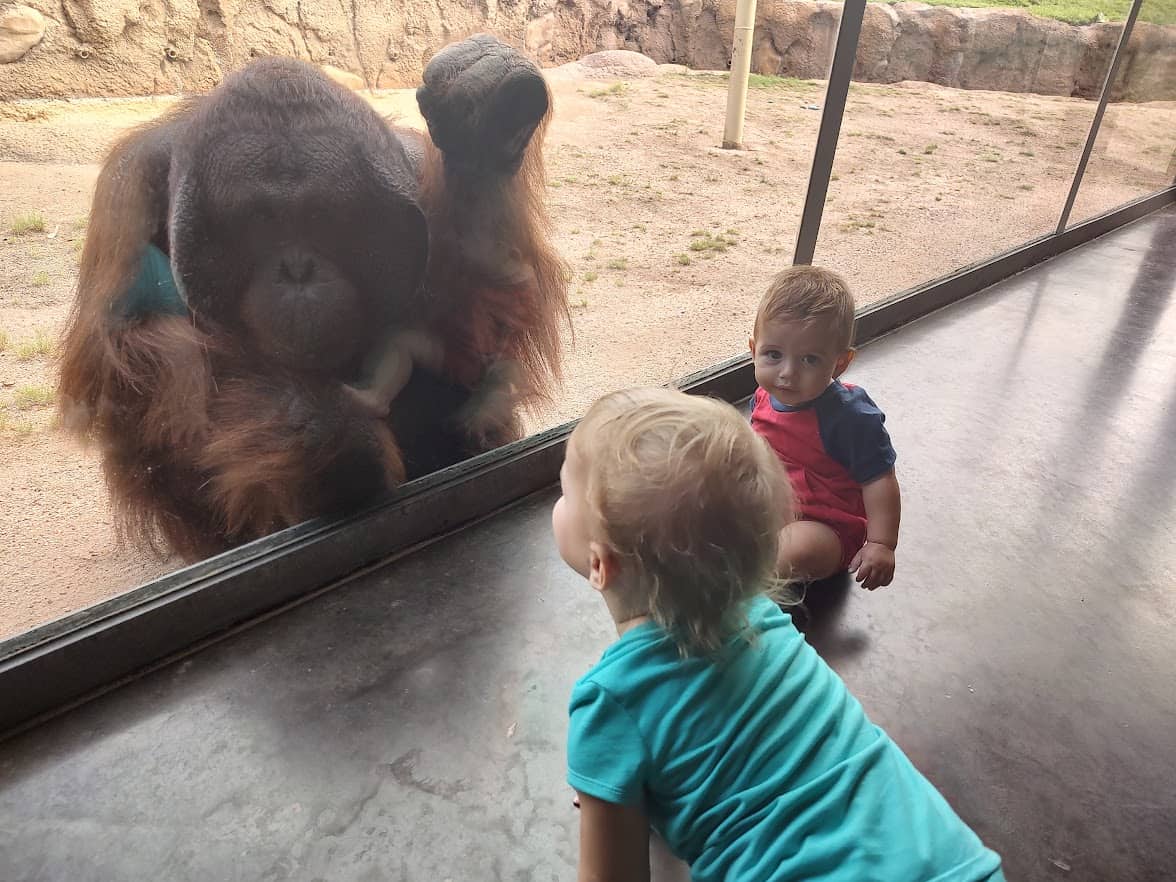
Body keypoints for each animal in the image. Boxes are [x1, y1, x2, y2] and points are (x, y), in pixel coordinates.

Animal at [56, 33, 570, 562]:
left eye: (326, 221)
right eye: (260, 226)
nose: (297, 270)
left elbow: (479, 324)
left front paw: (488, 129)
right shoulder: (130, 189)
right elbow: (129, 350)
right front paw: (324, 434)